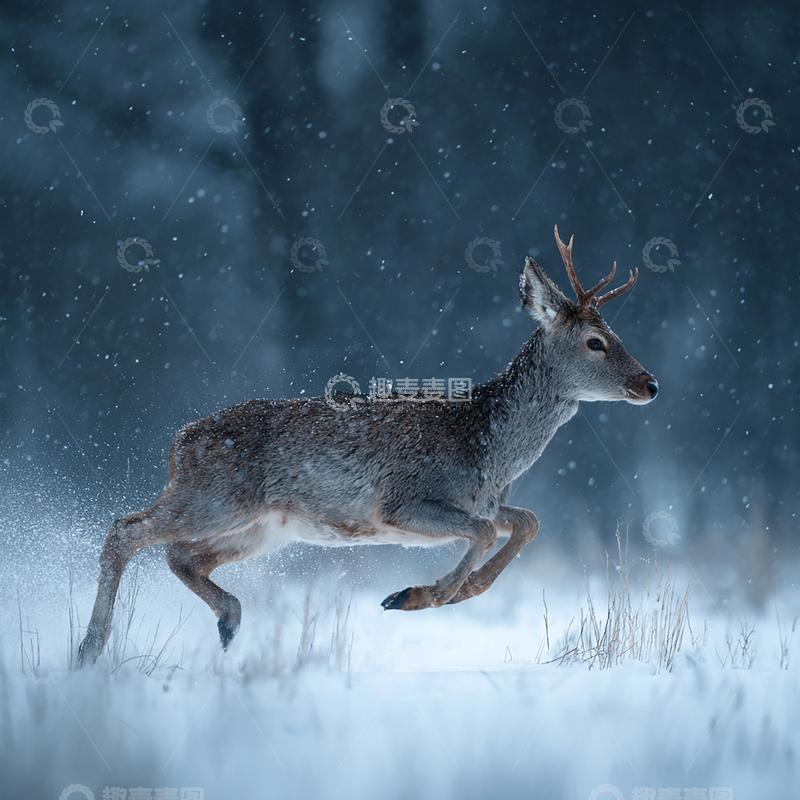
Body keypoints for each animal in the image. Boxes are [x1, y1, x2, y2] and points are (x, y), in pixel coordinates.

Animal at [77, 225, 658, 667]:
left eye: (617, 334)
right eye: (595, 342)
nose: (649, 383)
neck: (489, 445)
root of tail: (178, 442)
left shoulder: (487, 500)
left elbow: (526, 522)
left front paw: (448, 591)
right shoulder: (400, 501)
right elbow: (484, 532)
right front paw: (415, 596)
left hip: (263, 528)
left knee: (181, 554)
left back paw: (228, 620)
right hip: (213, 498)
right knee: (126, 530)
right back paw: (89, 648)